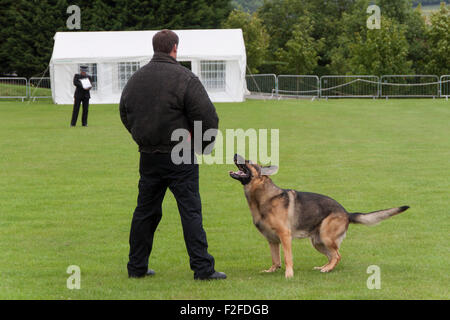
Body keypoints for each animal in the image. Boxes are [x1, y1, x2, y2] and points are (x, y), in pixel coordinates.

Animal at [230, 154, 410, 278]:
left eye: (249, 161)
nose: (235, 154)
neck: (263, 198)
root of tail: (346, 213)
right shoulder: (272, 240)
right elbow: (276, 259)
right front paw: (271, 270)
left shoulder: (285, 236)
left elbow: (287, 258)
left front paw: (289, 274)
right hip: (318, 242)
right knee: (333, 256)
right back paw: (324, 267)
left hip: (326, 237)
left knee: (337, 255)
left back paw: (327, 269)